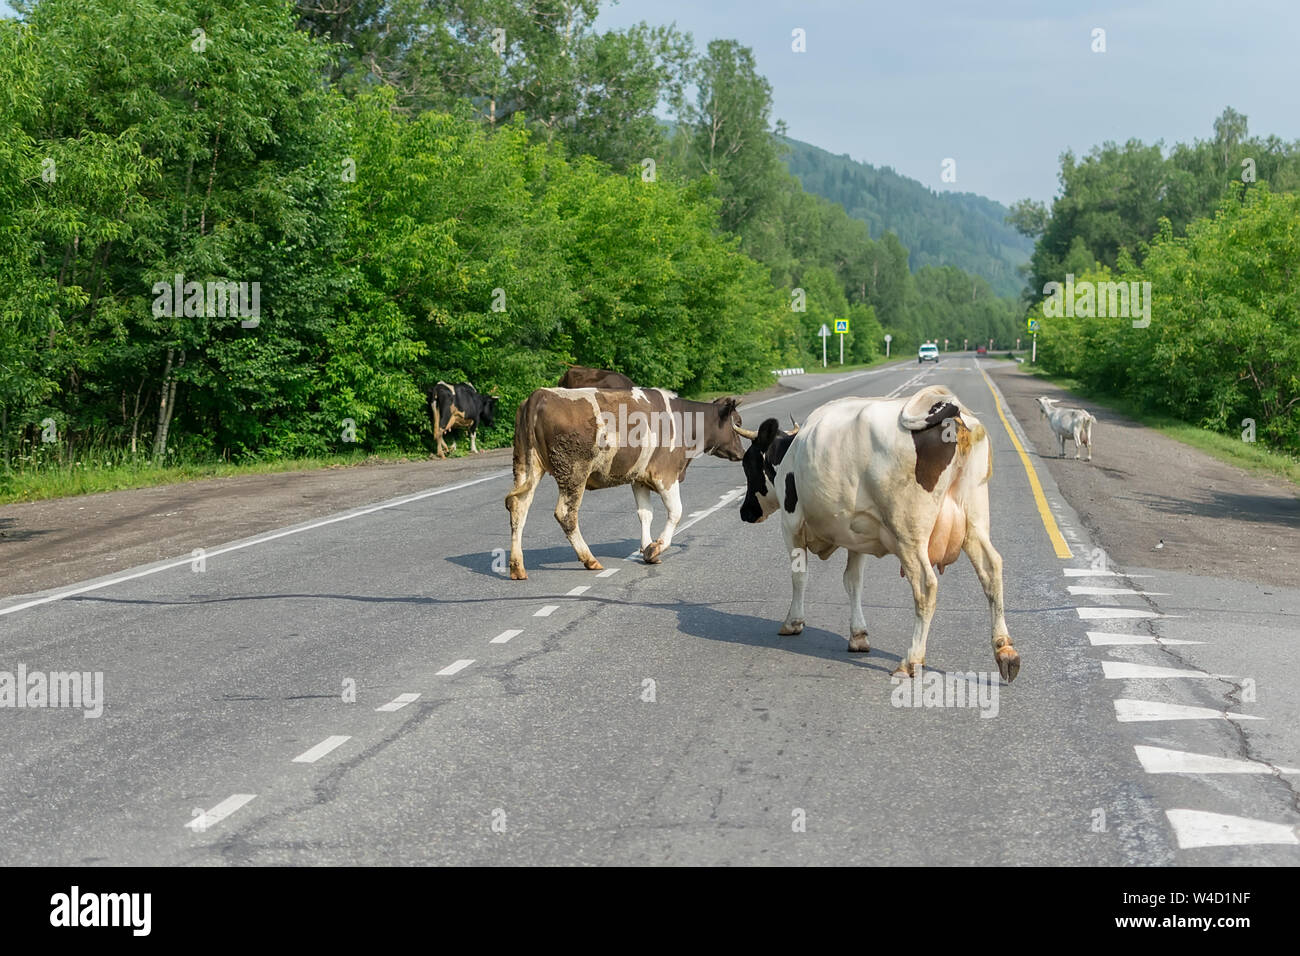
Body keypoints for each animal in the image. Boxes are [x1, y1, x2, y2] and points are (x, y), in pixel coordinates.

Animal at [509, 385, 754, 580]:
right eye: (738, 422)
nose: (741, 453)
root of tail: (540, 394)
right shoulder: (665, 475)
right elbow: (676, 512)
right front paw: (656, 548)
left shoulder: (640, 479)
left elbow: (645, 513)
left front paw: (647, 549)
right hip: (574, 472)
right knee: (565, 514)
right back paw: (589, 559)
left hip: (526, 465)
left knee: (519, 508)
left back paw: (517, 567)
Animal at [738, 385, 1019, 686]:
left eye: (748, 464)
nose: (745, 511)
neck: (791, 452)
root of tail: (948, 409)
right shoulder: (855, 534)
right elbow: (853, 582)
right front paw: (858, 636)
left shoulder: (790, 523)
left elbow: (799, 575)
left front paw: (793, 622)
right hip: (974, 521)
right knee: (991, 569)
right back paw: (1006, 652)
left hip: (908, 533)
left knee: (925, 586)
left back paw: (911, 660)